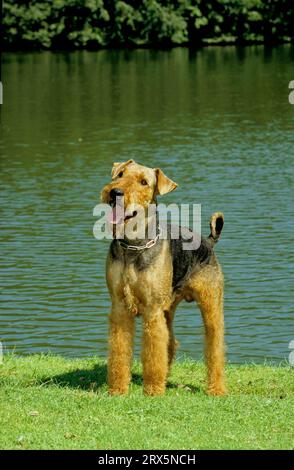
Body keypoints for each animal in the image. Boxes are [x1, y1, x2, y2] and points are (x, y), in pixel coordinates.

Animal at [100, 160, 225, 394]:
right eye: (120, 174)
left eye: (144, 182)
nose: (116, 193)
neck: (134, 245)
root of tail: (208, 241)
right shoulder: (120, 308)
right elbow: (119, 352)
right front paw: (118, 389)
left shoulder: (152, 310)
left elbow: (153, 352)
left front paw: (153, 391)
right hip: (168, 309)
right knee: (171, 343)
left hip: (210, 304)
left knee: (216, 348)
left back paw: (216, 389)